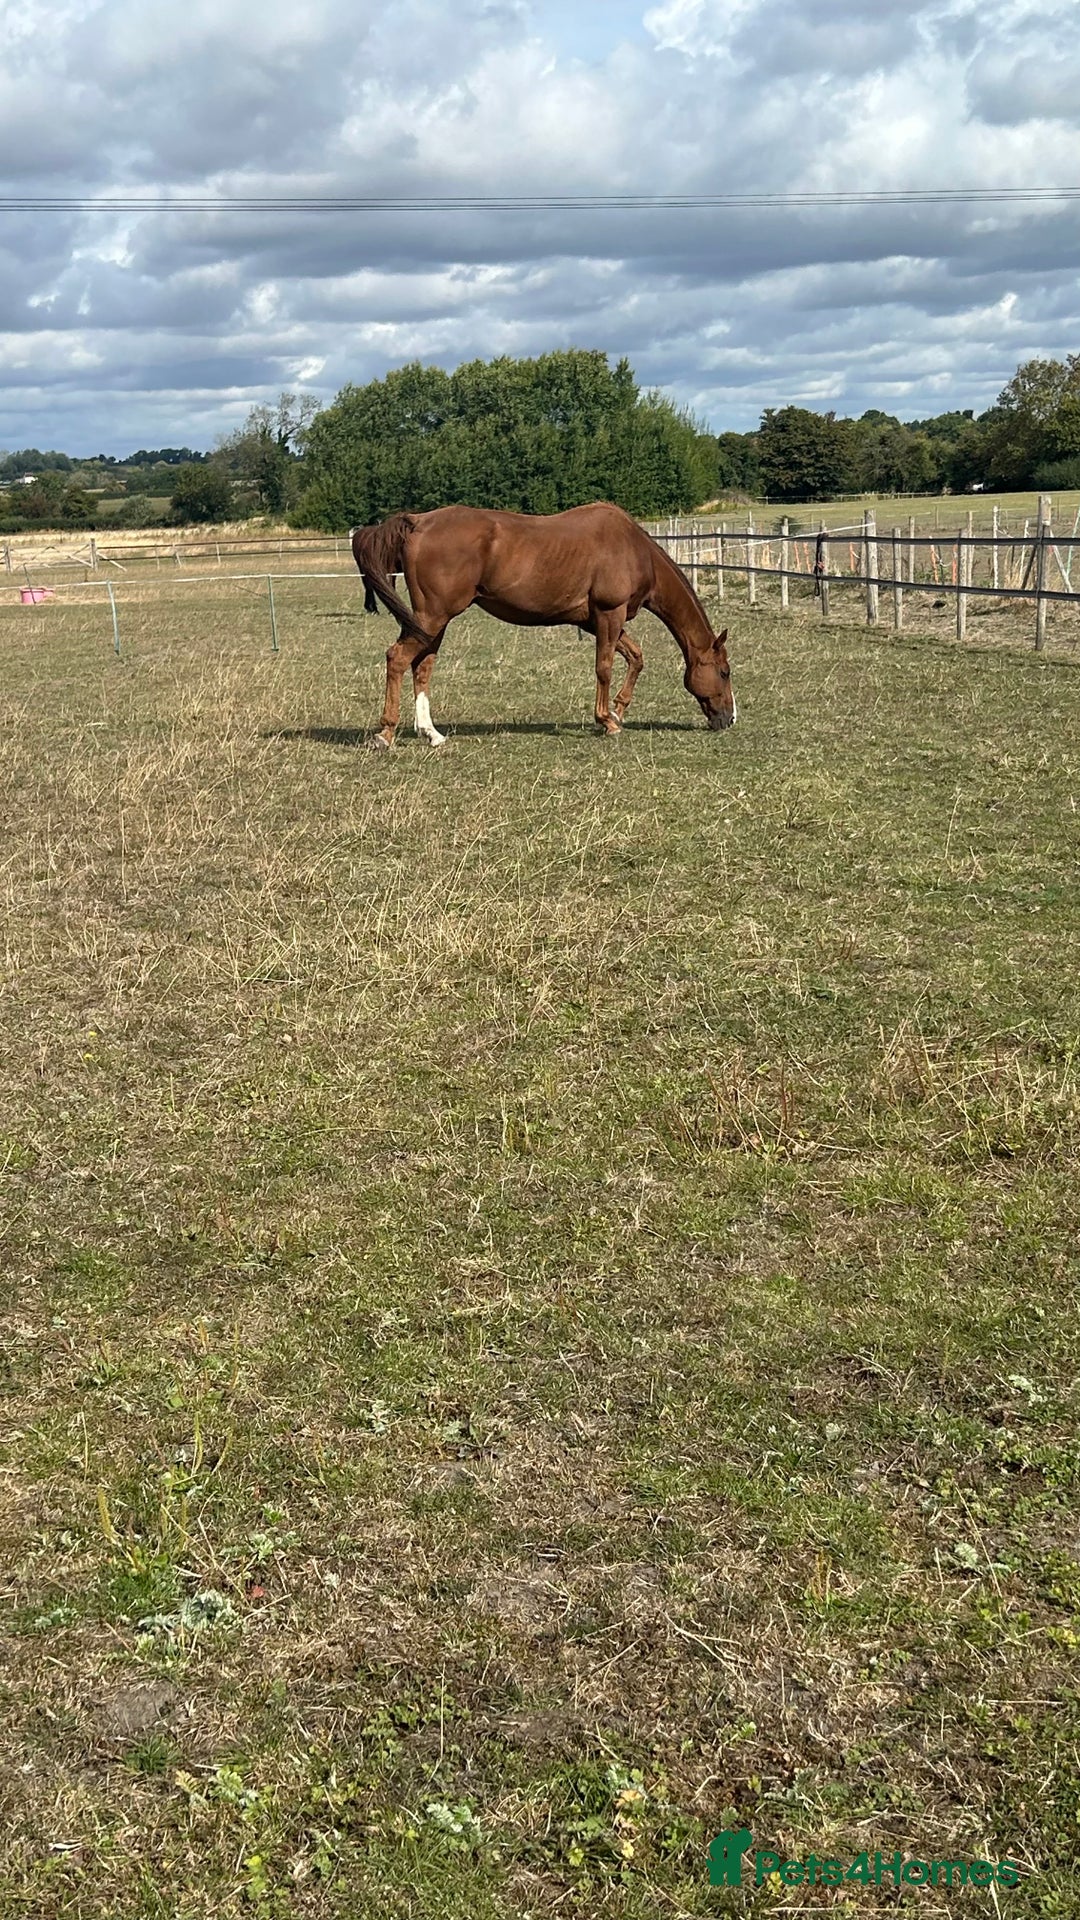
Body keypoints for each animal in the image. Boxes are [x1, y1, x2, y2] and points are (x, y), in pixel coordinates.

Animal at [350, 501, 736, 749]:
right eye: (725, 672)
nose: (729, 719)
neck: (633, 549)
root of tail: (417, 521)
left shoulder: (596, 621)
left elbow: (635, 657)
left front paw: (619, 709)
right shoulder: (609, 615)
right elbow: (605, 667)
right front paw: (608, 720)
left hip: (429, 622)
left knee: (422, 667)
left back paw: (431, 733)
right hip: (432, 617)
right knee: (397, 659)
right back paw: (385, 734)